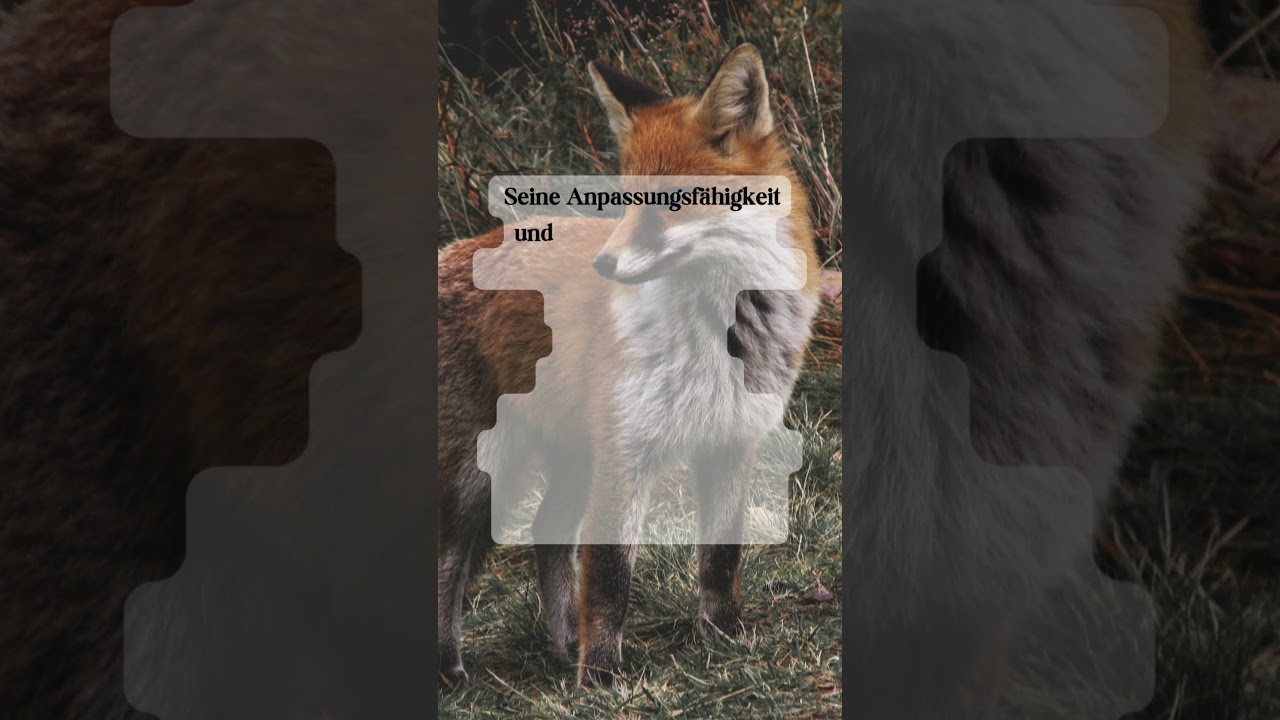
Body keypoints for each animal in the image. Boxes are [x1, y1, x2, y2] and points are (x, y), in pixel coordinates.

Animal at [436, 44, 822, 686]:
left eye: (672, 200)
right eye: (626, 197)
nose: (604, 264)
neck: (721, 335)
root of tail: (456, 249)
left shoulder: (732, 438)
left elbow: (721, 553)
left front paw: (723, 635)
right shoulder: (627, 449)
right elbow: (611, 573)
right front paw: (601, 677)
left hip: (571, 457)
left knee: (546, 532)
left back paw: (565, 643)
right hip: (477, 473)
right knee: (448, 559)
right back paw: (451, 667)